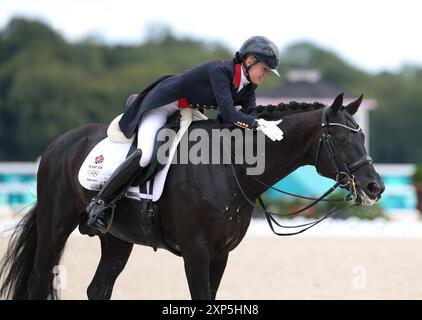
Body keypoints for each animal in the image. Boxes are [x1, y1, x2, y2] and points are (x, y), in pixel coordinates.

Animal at [0, 93, 384, 300]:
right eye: (342, 139)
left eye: (363, 137)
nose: (374, 187)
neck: (231, 165)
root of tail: (57, 145)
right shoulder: (196, 252)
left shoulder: (220, 254)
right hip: (55, 226)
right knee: (38, 280)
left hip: (116, 238)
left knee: (98, 287)